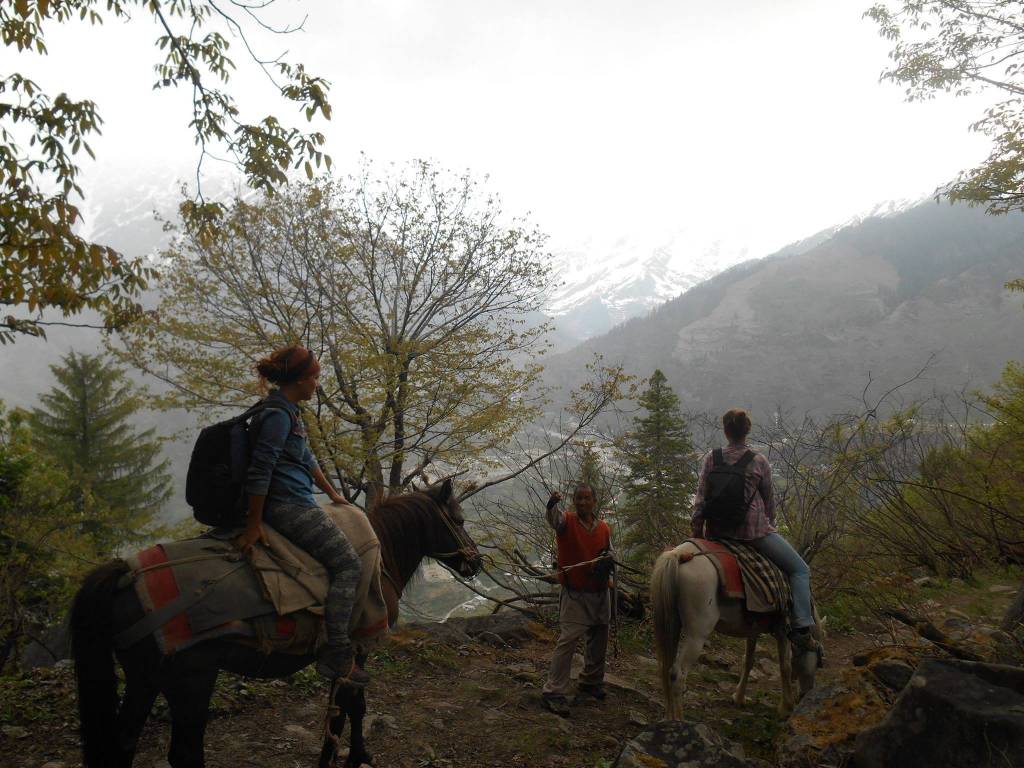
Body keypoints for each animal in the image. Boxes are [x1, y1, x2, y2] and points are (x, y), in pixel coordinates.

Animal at [70, 478, 481, 768]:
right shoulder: (359, 648)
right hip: (191, 681)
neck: (378, 555)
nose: (476, 562)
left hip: (143, 678)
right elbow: (353, 707)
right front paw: (354, 757)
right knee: (184, 754)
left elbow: (338, 709)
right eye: (459, 519)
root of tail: (125, 575)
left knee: (124, 743)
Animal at [650, 540, 824, 720]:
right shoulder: (783, 628)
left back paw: (669, 717)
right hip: (696, 634)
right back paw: (678, 720)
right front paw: (786, 708)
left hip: (674, 625)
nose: (805, 694)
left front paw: (739, 697)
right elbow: (785, 666)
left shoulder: (753, 629)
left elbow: (748, 661)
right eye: (818, 660)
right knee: (677, 675)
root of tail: (679, 555)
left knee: (667, 669)